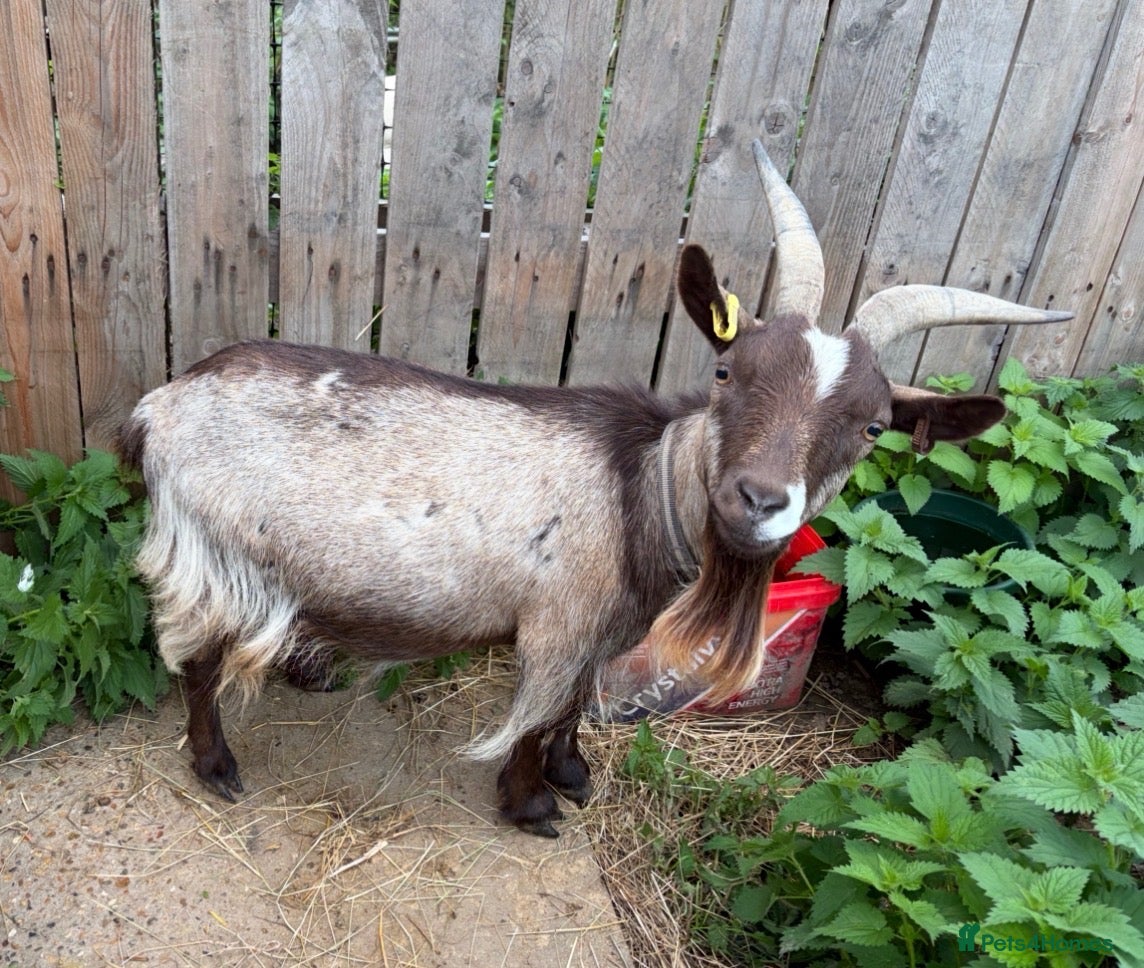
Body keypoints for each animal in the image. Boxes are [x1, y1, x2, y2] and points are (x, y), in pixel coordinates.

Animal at [119, 141, 1069, 837]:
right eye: (727, 370)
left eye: (873, 427)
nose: (759, 502)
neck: (642, 490)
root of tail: (158, 408)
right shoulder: (561, 625)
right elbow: (539, 714)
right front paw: (534, 805)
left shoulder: (607, 629)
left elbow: (574, 708)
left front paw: (573, 774)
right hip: (214, 556)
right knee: (195, 661)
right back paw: (217, 768)